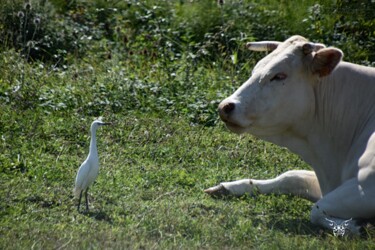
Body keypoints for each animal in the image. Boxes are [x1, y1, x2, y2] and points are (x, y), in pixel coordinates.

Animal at [206, 34, 375, 234]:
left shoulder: (365, 189)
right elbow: (291, 177)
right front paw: (227, 187)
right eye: (254, 70)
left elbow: (317, 209)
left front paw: (352, 226)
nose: (225, 106)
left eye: (279, 76)